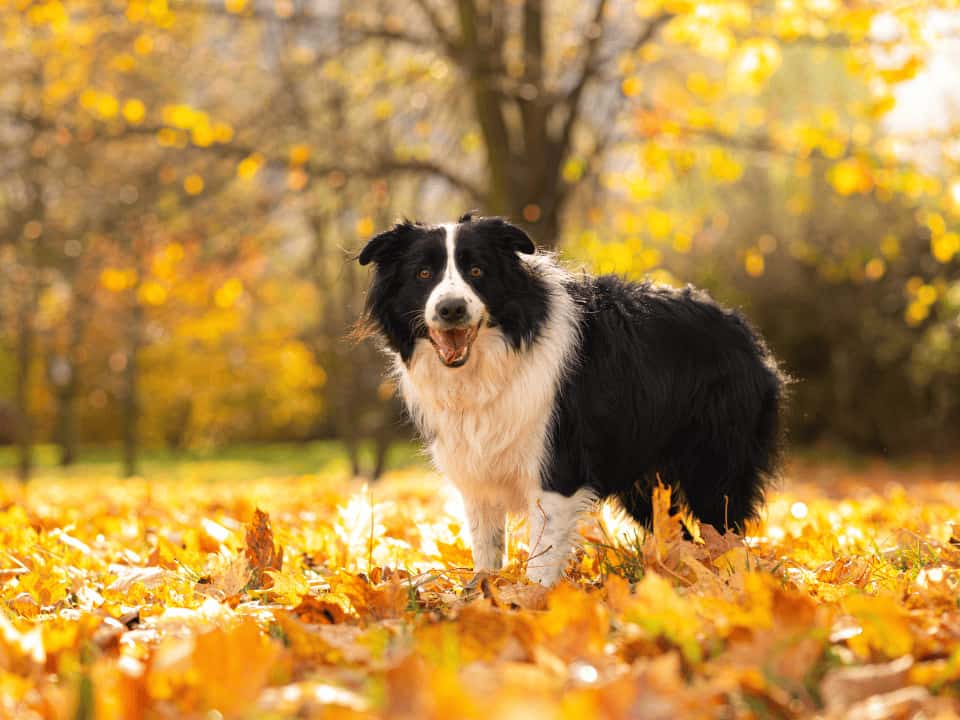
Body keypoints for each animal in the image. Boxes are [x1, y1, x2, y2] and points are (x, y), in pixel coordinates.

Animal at [356, 214, 784, 584]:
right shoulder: (477, 472)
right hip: (645, 483)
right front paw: (483, 594)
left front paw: (527, 604)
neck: (489, 363)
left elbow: (541, 559)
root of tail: (744, 330)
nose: (451, 309)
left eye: (477, 271)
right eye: (423, 274)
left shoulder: (556, 466)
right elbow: (487, 548)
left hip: (714, 463)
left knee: (724, 529)